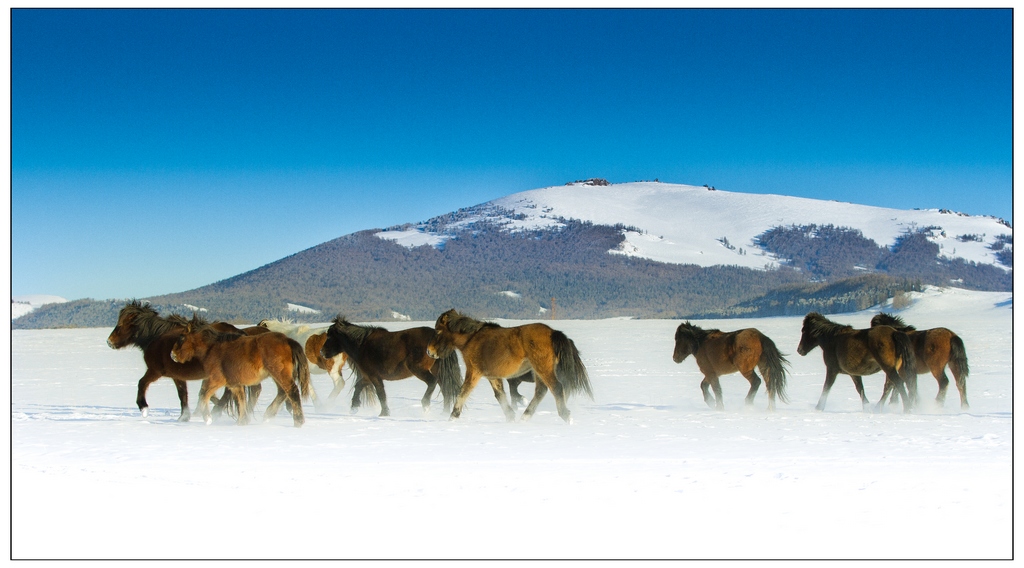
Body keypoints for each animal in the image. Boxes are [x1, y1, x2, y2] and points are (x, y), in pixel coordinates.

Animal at [171, 319, 311, 425]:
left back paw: (298, 421)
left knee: (292, 391)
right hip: (276, 375)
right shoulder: (234, 383)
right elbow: (241, 399)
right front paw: (242, 421)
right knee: (282, 392)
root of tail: (288, 340)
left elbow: (203, 394)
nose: (172, 355)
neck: (212, 348)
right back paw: (268, 415)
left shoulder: (216, 379)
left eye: (182, 338)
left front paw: (207, 418)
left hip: (279, 373)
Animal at [319, 315, 464, 417]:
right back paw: (444, 413)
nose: (321, 352)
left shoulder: (374, 376)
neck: (362, 345)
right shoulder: (368, 376)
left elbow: (381, 394)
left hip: (419, 369)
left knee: (432, 382)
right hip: (436, 370)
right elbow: (358, 386)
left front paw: (384, 413)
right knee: (445, 389)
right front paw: (354, 407)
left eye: (330, 336)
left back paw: (426, 405)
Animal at [421, 309, 593, 423]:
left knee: (556, 388)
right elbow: (500, 396)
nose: (429, 351)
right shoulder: (492, 376)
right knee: (541, 391)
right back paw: (525, 417)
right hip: (538, 371)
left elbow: (463, 393)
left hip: (543, 369)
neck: (472, 339)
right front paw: (510, 417)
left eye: (437, 331)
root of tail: (553, 333)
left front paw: (452, 417)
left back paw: (566, 416)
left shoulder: (474, 372)